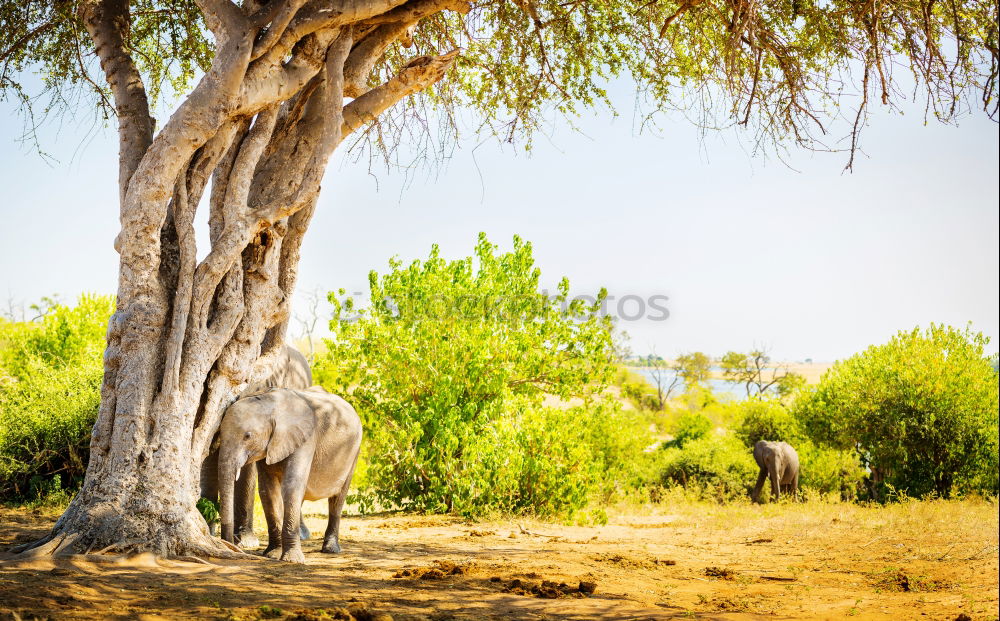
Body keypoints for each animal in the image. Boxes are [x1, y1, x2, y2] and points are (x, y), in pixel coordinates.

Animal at [217, 386, 366, 560]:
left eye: (247, 436)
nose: (231, 545)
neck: (271, 401)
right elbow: (267, 491)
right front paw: (273, 554)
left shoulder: (305, 439)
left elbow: (291, 485)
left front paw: (292, 560)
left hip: (354, 452)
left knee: (337, 500)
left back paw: (330, 549)